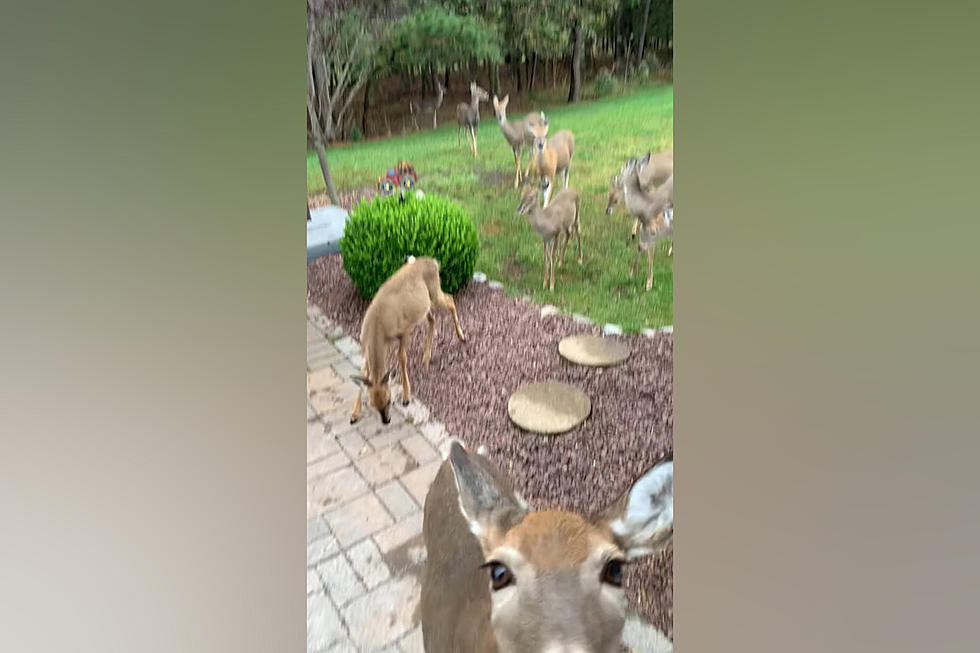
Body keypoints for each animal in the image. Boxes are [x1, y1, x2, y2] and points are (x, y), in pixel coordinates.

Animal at [346, 258, 466, 426]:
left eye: (389, 400)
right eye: (372, 404)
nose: (386, 420)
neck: (377, 327)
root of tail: (433, 261)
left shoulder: (403, 330)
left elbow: (402, 358)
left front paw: (406, 396)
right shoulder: (372, 347)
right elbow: (364, 372)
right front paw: (354, 414)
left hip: (434, 292)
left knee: (450, 299)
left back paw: (461, 336)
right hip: (424, 305)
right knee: (433, 319)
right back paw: (426, 357)